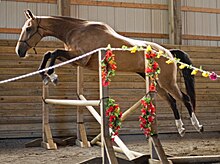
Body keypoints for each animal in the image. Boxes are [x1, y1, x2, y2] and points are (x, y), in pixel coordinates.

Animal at [15, 9, 204, 136]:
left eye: (29, 28)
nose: (19, 51)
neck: (76, 30)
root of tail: (168, 53)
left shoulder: (80, 59)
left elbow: (53, 53)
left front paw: (52, 76)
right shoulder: (75, 59)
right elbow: (49, 54)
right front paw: (45, 75)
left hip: (167, 81)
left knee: (185, 98)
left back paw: (197, 126)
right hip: (154, 82)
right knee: (172, 101)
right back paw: (181, 128)